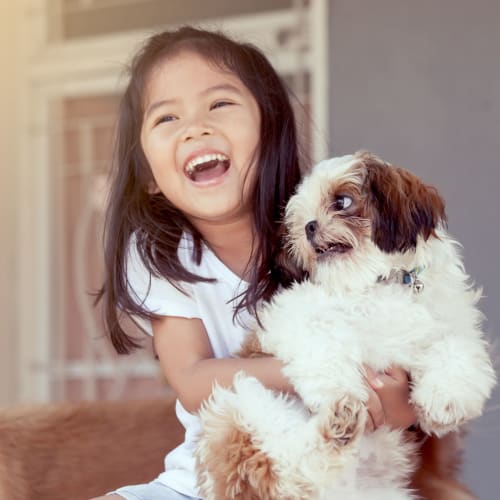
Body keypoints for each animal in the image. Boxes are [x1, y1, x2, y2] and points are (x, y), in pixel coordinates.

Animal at [195, 152, 496, 500]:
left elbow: (456, 349)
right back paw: (339, 419)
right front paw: (338, 388)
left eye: (342, 201)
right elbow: (323, 342)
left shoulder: (452, 324)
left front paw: (446, 399)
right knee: (286, 469)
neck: (380, 283)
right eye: (300, 219)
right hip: (239, 405)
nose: (309, 226)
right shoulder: (292, 315)